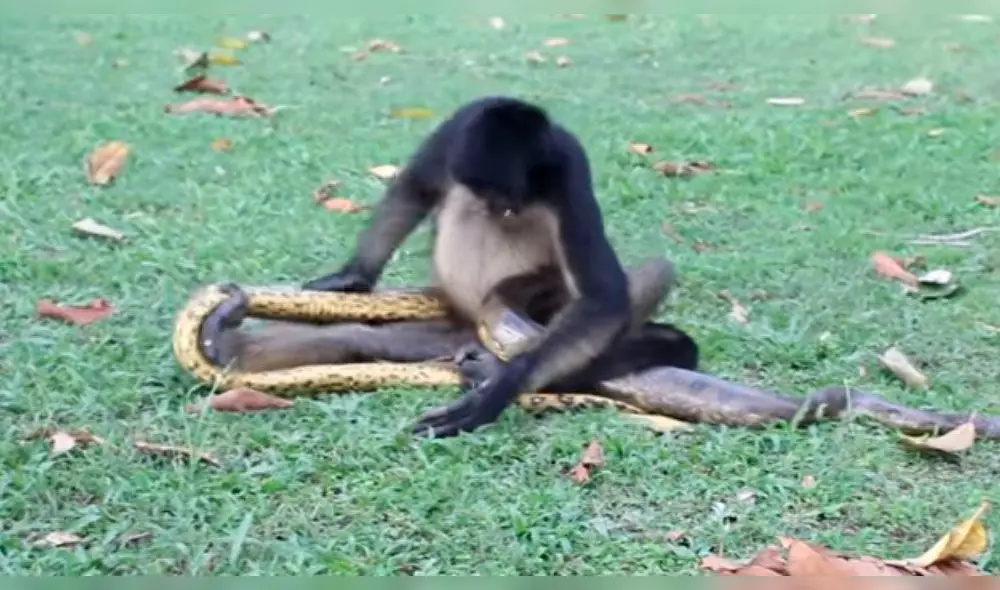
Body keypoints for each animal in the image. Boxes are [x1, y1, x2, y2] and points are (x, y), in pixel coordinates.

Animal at [292, 95, 699, 438]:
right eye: (489, 194)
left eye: (506, 197)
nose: (498, 207)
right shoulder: (457, 128)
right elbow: (416, 188)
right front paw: (353, 274)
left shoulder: (568, 166)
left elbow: (602, 299)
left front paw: (497, 391)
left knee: (656, 271)